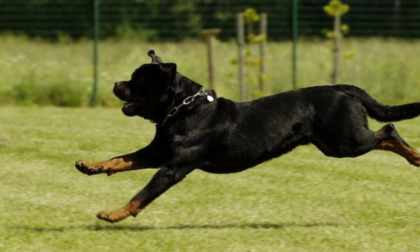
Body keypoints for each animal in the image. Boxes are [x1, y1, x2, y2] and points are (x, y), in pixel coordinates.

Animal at [75, 49, 420, 222]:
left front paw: (113, 214)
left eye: (137, 81)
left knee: (388, 131)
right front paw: (91, 166)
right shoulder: (156, 153)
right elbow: (121, 159)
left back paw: (415, 156)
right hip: (332, 144)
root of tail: (340, 88)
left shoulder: (173, 167)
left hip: (346, 141)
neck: (181, 110)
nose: (115, 84)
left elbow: (142, 194)